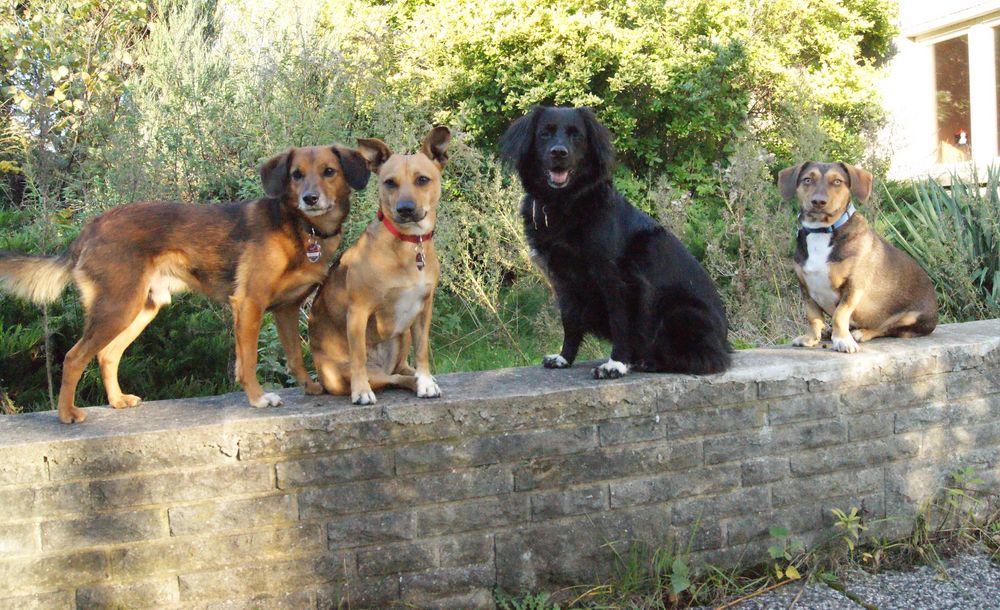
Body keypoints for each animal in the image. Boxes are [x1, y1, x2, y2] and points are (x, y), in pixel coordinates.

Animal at [0, 143, 372, 420]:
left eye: (329, 171)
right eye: (296, 175)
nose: (310, 198)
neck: (302, 228)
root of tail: (89, 228)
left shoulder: (286, 309)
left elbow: (295, 354)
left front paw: (309, 386)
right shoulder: (249, 303)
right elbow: (248, 361)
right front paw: (257, 398)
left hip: (142, 308)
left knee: (106, 354)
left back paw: (117, 401)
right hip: (117, 307)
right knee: (74, 357)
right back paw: (67, 414)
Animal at [308, 127, 450, 404]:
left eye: (422, 180)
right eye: (389, 182)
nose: (405, 209)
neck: (409, 244)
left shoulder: (423, 310)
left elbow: (422, 350)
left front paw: (426, 381)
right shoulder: (358, 311)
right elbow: (359, 357)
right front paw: (361, 391)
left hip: (403, 334)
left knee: (401, 369)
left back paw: (419, 378)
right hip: (345, 371)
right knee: (391, 378)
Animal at [504, 107, 732, 378]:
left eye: (576, 135)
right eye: (545, 133)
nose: (559, 152)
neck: (566, 202)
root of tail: (725, 343)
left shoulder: (618, 279)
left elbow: (621, 323)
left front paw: (616, 364)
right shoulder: (563, 278)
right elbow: (570, 320)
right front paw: (564, 358)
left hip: (679, 310)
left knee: (707, 359)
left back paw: (650, 362)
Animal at [780, 160, 936, 352]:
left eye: (837, 181)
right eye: (807, 179)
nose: (818, 201)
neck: (822, 231)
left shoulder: (853, 287)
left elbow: (840, 314)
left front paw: (842, 339)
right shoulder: (805, 288)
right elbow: (813, 316)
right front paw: (811, 337)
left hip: (911, 318)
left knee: (887, 328)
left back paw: (861, 333)